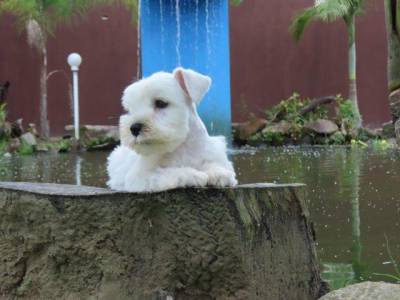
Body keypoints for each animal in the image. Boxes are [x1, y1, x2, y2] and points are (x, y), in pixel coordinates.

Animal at [106, 67, 238, 192]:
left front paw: (220, 173)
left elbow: (214, 164)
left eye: (160, 103)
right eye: (130, 109)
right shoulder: (141, 178)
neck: (181, 147)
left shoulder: (213, 155)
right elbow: (169, 172)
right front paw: (194, 175)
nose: (134, 128)